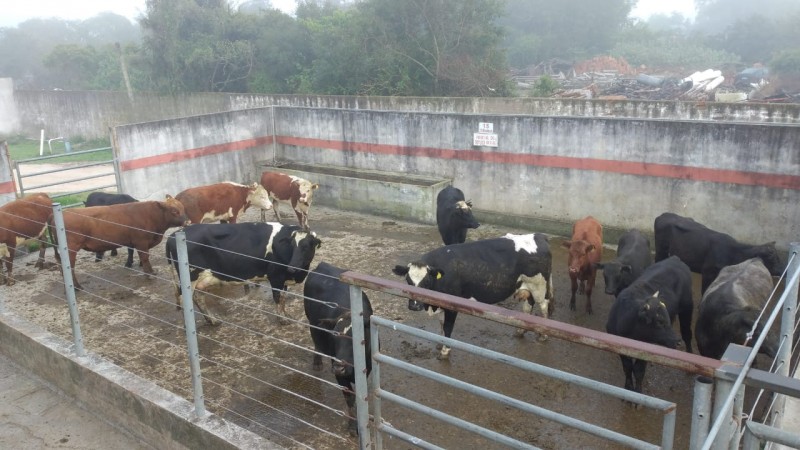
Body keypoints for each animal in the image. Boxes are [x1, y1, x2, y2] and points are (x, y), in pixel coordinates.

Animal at [50, 195, 188, 290]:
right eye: (174, 211)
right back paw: (77, 287)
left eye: (182, 208)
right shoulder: (141, 242)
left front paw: (151, 272)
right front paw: (149, 274)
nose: (187, 221)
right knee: (69, 267)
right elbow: (145, 258)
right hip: (70, 250)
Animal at [164, 222, 320, 326]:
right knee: (184, 299)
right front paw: (282, 319)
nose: (292, 267)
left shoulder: (284, 278)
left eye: (307, 246)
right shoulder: (276, 275)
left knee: (198, 297)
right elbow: (277, 297)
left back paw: (212, 320)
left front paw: (285, 314)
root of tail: (173, 234)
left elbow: (283, 298)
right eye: (293, 245)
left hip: (203, 278)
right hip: (191, 276)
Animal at [302, 260, 374, 436]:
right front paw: (352, 425)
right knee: (317, 343)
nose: (339, 367)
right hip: (312, 323)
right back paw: (317, 362)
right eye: (334, 336)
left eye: (359, 338)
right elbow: (349, 398)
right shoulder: (339, 375)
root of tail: (323, 265)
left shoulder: (367, 369)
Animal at [390, 232, 552, 358]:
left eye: (427, 281)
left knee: (543, 306)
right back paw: (520, 331)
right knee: (528, 307)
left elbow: (447, 326)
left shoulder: (452, 305)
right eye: (408, 280)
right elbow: (441, 323)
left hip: (539, 286)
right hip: (528, 286)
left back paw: (544, 336)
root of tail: (539, 235)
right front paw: (440, 343)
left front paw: (445, 350)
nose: (414, 306)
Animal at [608, 256, 692, 394]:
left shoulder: (646, 348)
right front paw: (628, 387)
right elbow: (627, 367)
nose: (677, 342)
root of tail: (675, 258)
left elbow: (638, 370)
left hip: (687, 309)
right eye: (659, 321)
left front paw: (637, 392)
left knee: (687, 333)